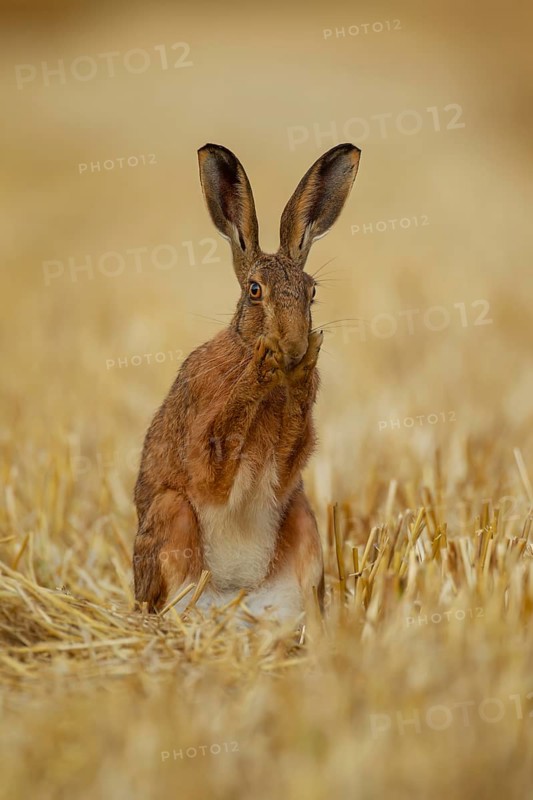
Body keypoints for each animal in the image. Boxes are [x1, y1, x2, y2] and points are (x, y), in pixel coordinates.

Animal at [132, 142, 361, 620]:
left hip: (303, 520)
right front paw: (260, 369)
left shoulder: (290, 458)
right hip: (171, 514)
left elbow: (290, 442)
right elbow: (217, 460)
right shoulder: (205, 446)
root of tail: (237, 601)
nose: (293, 346)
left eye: (312, 292)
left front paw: (300, 370)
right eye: (255, 291)